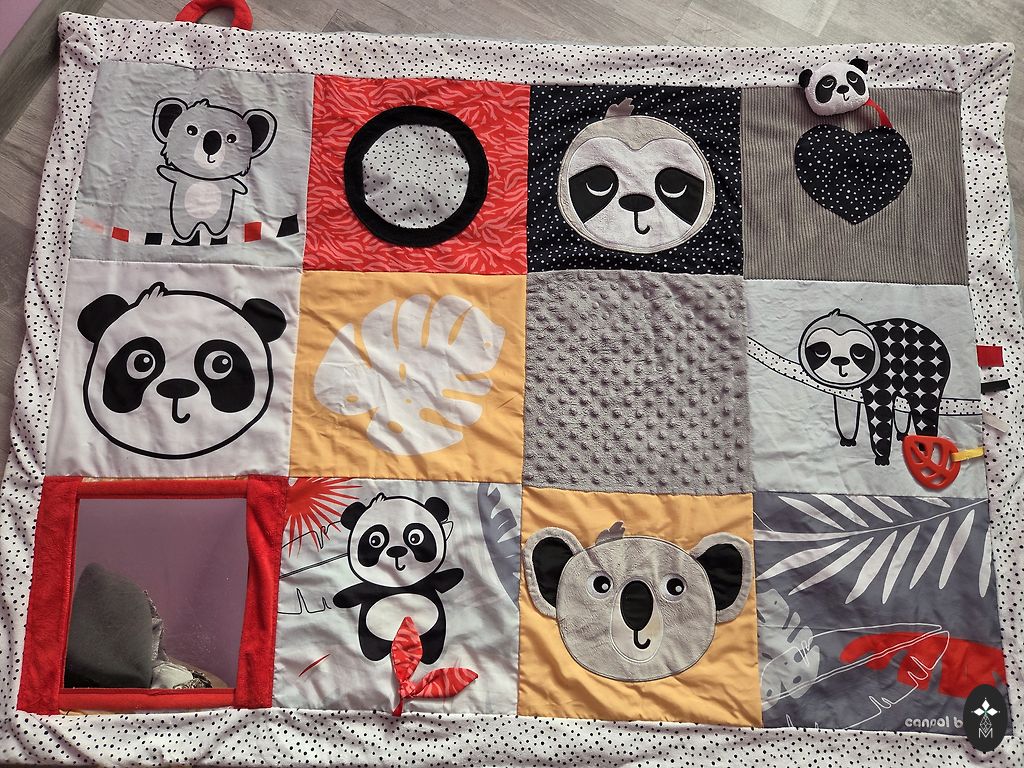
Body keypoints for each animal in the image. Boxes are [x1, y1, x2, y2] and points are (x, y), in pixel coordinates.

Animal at [333, 493, 464, 665]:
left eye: (415, 537)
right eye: (375, 540)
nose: (396, 550)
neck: (396, 587)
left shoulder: (427, 583)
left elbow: (443, 579)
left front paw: (457, 573)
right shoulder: (369, 589)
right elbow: (356, 592)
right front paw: (339, 598)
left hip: (434, 629)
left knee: (433, 640)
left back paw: (429, 657)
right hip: (368, 633)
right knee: (370, 645)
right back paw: (374, 654)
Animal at [798, 309, 950, 466]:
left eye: (859, 353)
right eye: (821, 351)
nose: (840, 361)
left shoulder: (880, 385)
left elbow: (880, 418)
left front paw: (881, 456)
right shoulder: (844, 390)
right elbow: (846, 412)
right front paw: (848, 439)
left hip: (926, 380)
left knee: (924, 411)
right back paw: (903, 436)